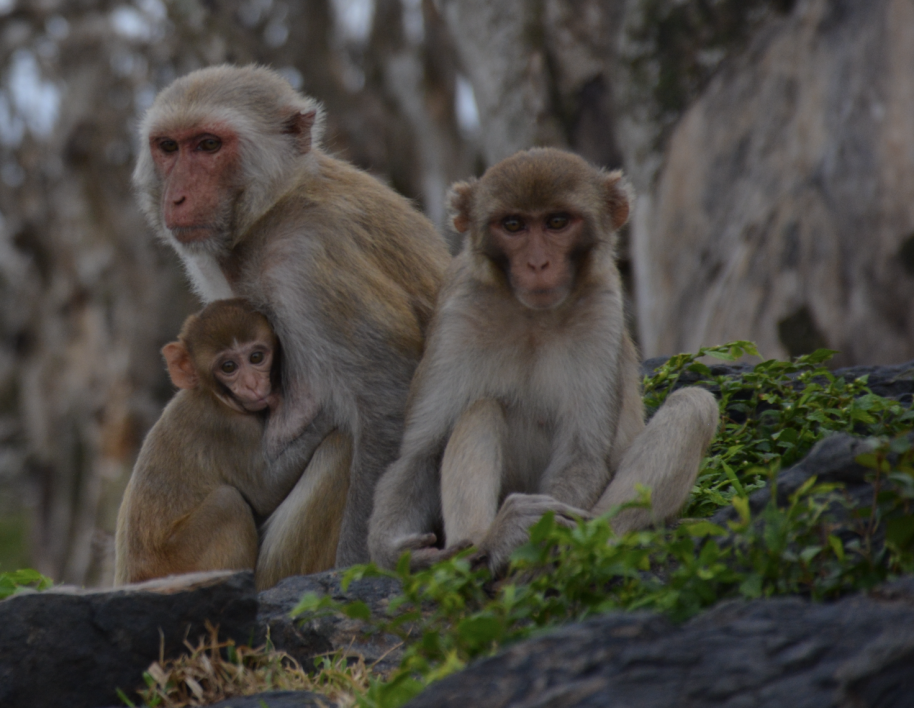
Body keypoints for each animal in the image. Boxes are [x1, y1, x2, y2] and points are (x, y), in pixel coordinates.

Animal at [114, 298, 350, 588]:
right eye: (228, 367)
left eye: (256, 357)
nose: (252, 384)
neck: (211, 395)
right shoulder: (227, 428)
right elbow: (266, 492)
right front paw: (329, 415)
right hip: (180, 562)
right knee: (228, 502)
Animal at [132, 65, 448, 564]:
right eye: (169, 147)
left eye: (208, 145)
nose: (178, 197)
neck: (274, 208)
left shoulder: (309, 260)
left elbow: (392, 402)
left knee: (342, 444)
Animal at [366, 148, 716, 568]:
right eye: (513, 225)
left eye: (557, 222)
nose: (537, 264)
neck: (531, 314)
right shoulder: (457, 314)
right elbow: (420, 455)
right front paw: (397, 554)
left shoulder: (601, 313)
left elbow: (581, 454)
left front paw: (544, 532)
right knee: (480, 408)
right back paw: (486, 540)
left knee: (694, 403)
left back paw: (585, 540)